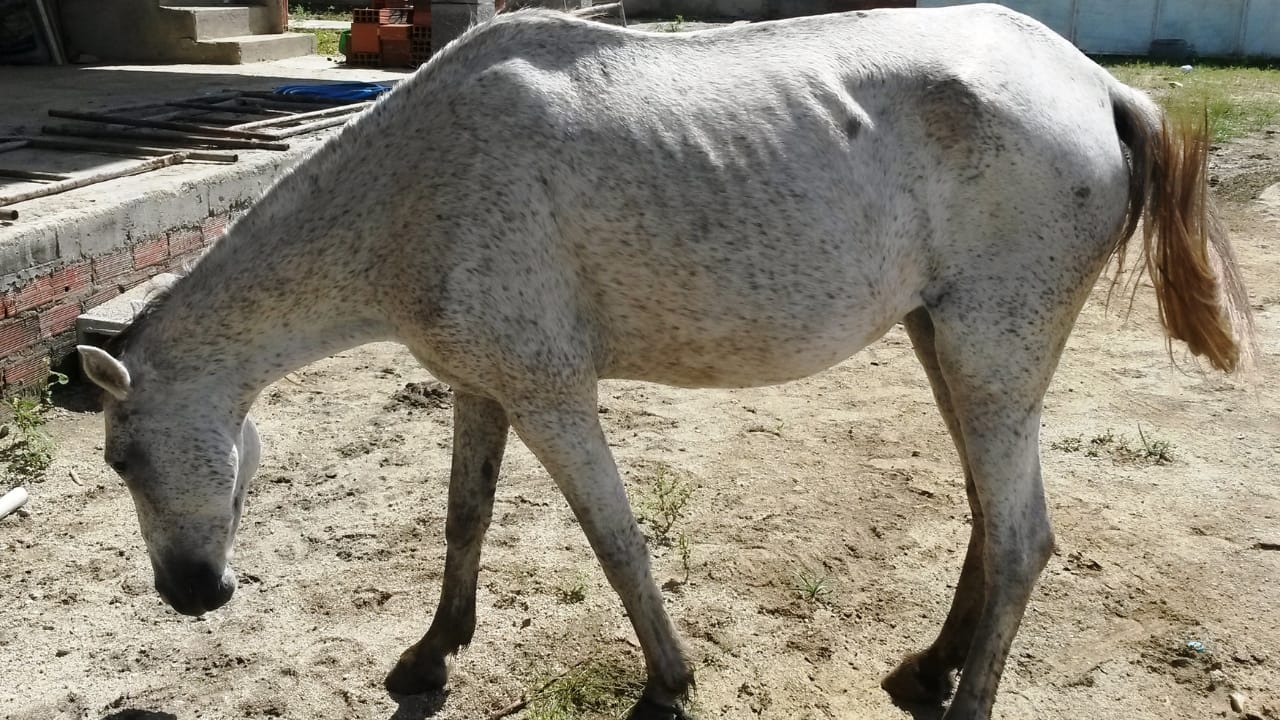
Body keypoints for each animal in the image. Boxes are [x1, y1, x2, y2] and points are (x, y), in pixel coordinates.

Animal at [77, 4, 1255, 719]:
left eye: (122, 459)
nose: (191, 594)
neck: (414, 192)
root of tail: (1097, 86)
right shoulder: (481, 389)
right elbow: (465, 522)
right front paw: (434, 650)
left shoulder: (552, 399)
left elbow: (616, 544)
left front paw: (668, 682)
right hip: (952, 350)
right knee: (984, 515)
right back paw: (929, 669)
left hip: (989, 355)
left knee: (1020, 541)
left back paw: (961, 694)